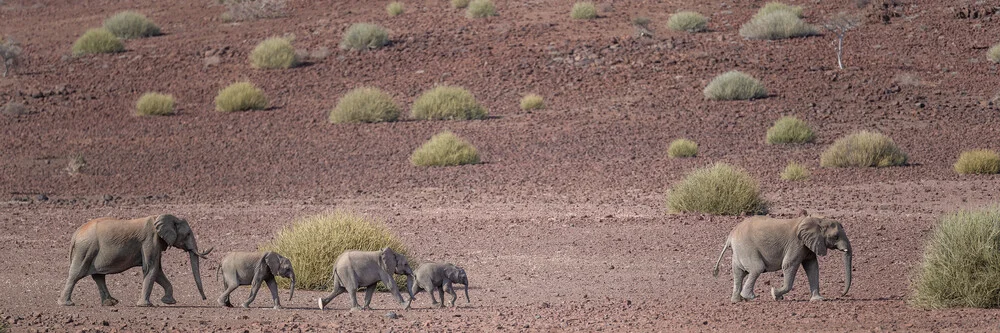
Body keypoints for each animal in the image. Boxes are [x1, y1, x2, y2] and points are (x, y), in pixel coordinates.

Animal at [58, 213, 211, 306]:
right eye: (188, 234)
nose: (205, 299)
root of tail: (76, 233)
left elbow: (158, 271)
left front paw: (169, 302)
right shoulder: (150, 240)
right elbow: (151, 269)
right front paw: (146, 305)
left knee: (98, 276)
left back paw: (111, 303)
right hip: (85, 250)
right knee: (76, 275)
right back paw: (66, 304)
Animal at [712, 214, 852, 302]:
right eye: (835, 237)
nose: (841, 295)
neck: (816, 219)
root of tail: (730, 235)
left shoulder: (808, 246)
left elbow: (812, 267)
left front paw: (818, 300)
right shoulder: (796, 243)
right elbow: (788, 265)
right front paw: (775, 294)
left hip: (739, 252)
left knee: (739, 273)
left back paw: (737, 301)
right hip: (746, 248)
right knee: (757, 268)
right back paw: (750, 297)